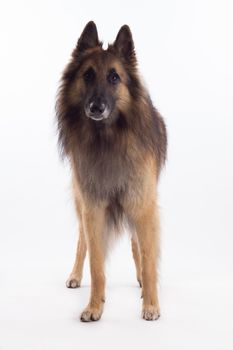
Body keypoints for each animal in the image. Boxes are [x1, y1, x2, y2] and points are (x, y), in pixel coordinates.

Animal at [55, 21, 167, 322]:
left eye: (114, 77)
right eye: (88, 75)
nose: (96, 107)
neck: (108, 139)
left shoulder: (142, 204)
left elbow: (148, 258)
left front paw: (151, 304)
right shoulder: (93, 207)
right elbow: (96, 264)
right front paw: (95, 306)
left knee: (136, 244)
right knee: (82, 241)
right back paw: (74, 275)